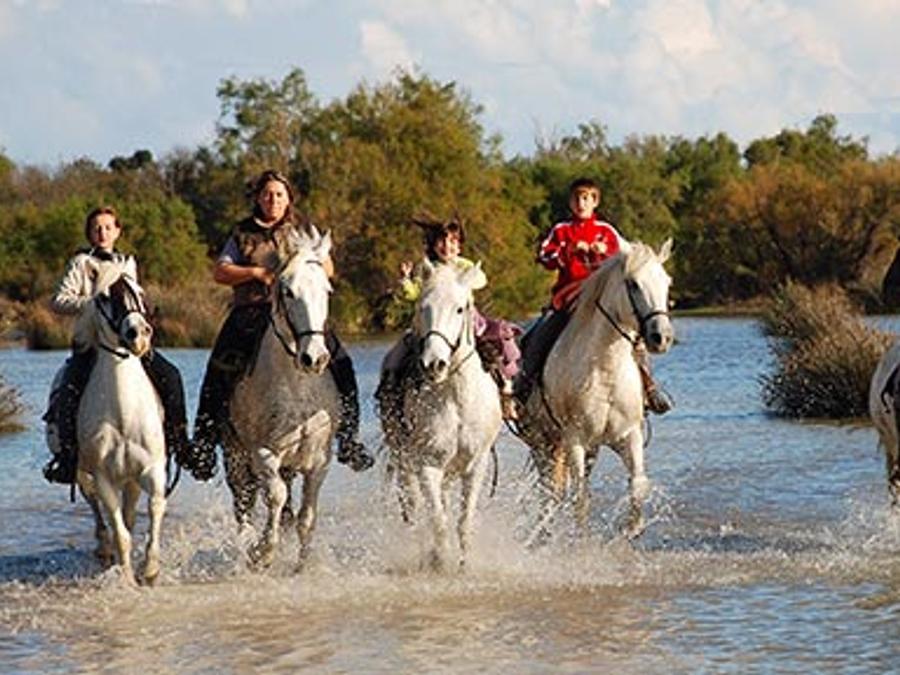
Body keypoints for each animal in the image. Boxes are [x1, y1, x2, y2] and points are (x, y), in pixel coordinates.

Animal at [58, 264, 167, 585]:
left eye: (140, 291)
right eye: (105, 297)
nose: (139, 334)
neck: (123, 414)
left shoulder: (151, 469)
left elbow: (154, 509)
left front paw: (150, 569)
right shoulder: (104, 477)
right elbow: (120, 533)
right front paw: (128, 577)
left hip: (129, 478)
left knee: (128, 512)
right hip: (83, 474)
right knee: (96, 508)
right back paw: (104, 549)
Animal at [222, 227, 340, 569]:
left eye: (327, 291)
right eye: (288, 291)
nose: (314, 358)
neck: (298, 386)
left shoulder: (319, 461)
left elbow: (306, 515)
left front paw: (303, 564)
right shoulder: (263, 453)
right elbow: (275, 496)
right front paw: (262, 552)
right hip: (235, 455)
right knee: (244, 501)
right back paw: (247, 542)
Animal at [379, 260, 503, 571]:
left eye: (460, 309)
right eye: (423, 307)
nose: (434, 364)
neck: (455, 398)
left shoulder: (476, 465)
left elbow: (463, 521)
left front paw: (464, 564)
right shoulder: (428, 464)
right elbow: (437, 520)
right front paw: (439, 561)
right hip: (404, 462)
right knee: (414, 508)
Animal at [516, 239, 674, 540]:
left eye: (667, 282)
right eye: (633, 284)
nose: (662, 337)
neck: (605, 368)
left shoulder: (628, 435)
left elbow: (638, 484)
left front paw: (631, 528)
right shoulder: (575, 438)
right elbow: (580, 497)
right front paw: (583, 538)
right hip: (543, 443)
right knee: (549, 491)